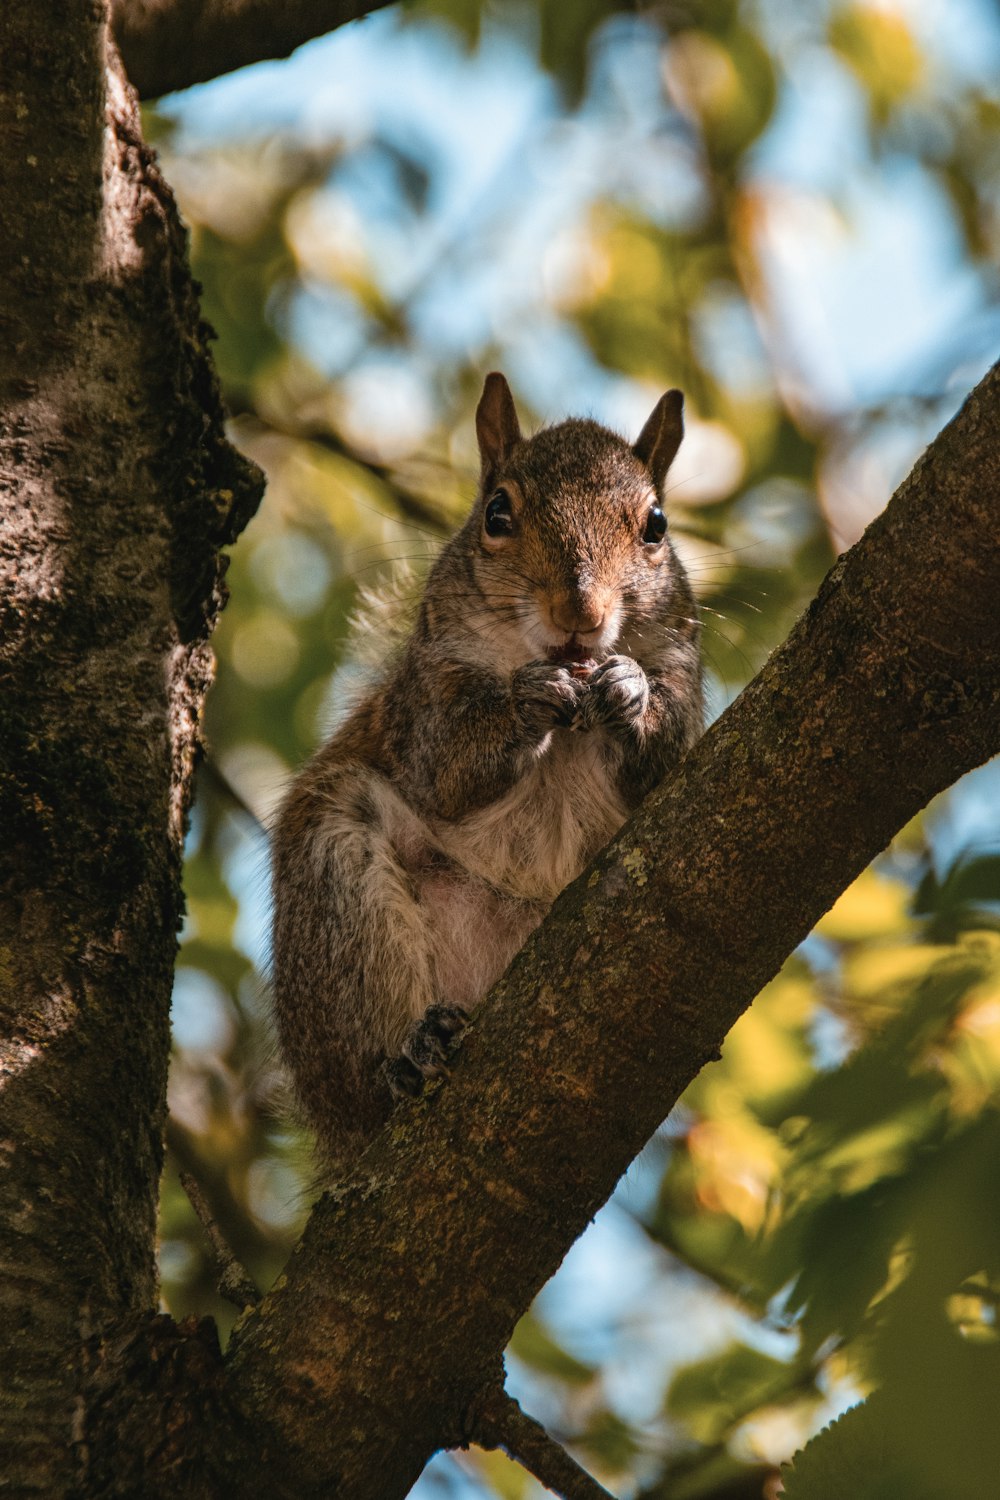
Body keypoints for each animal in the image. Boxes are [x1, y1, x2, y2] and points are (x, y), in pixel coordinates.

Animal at [269, 369, 701, 1164]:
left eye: (656, 525)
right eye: (497, 512)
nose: (580, 613)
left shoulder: (684, 678)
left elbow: (666, 758)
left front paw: (629, 692)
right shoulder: (426, 700)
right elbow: (450, 771)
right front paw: (529, 699)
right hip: (337, 883)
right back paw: (410, 1055)